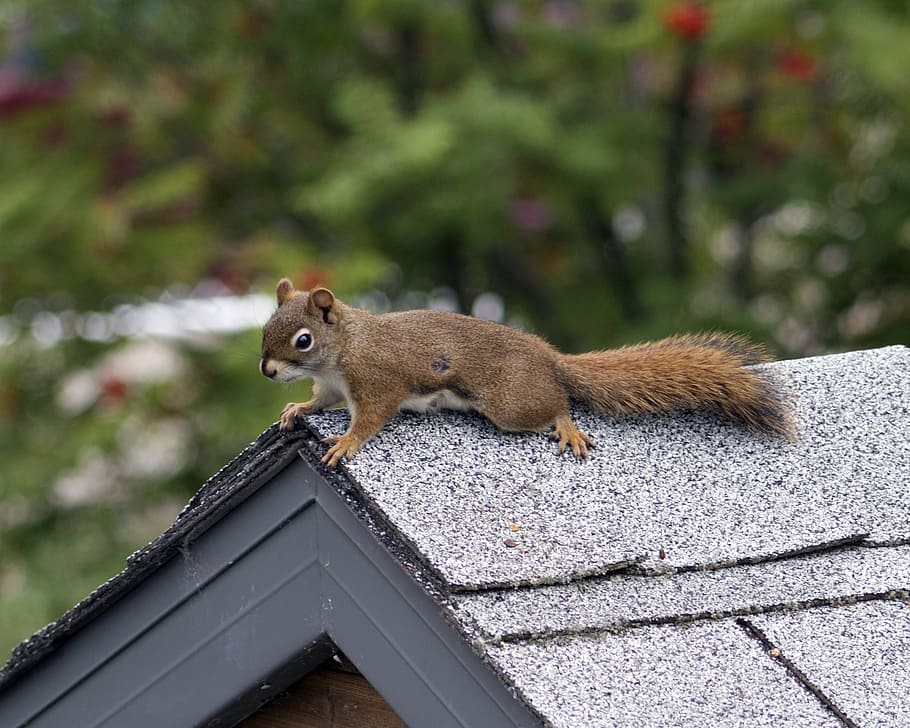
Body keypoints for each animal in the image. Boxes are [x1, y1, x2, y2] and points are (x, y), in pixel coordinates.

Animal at [260, 279, 791, 467]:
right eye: (266, 328)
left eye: (303, 340)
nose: (267, 370)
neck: (344, 349)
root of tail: (550, 357)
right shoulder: (332, 387)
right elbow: (320, 402)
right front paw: (295, 408)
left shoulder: (376, 381)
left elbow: (370, 418)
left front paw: (346, 443)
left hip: (511, 404)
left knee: (557, 406)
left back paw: (568, 427)